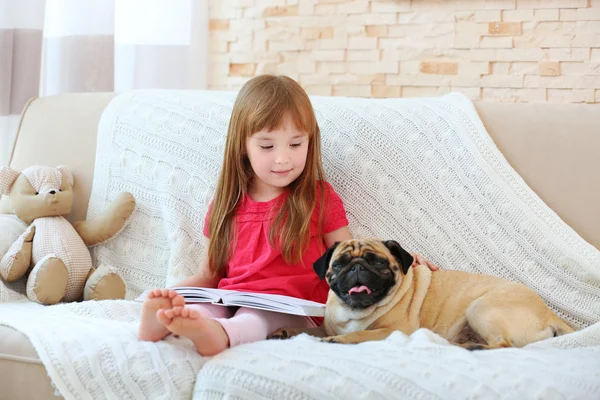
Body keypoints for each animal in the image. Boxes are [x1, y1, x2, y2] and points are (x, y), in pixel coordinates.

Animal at [270, 239, 576, 348]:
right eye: (339, 264)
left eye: (378, 263)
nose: (357, 267)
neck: (354, 311)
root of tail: (548, 313)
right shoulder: (326, 325)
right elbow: (311, 329)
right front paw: (285, 331)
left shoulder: (393, 331)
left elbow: (359, 335)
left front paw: (339, 340)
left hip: (480, 309)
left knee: (505, 345)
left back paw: (474, 347)